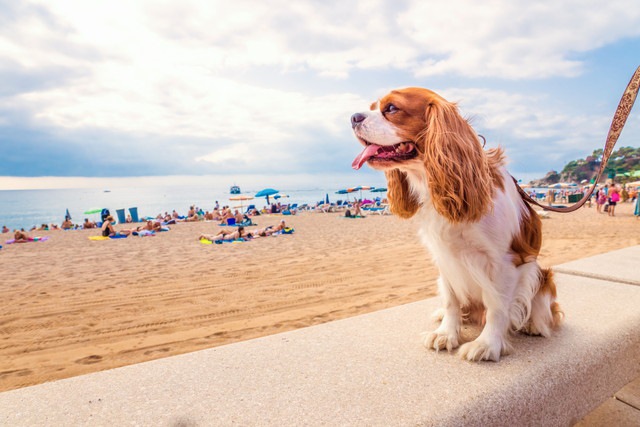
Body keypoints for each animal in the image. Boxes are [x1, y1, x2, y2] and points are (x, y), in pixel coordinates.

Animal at [352, 88, 564, 362]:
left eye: (391, 109)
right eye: (371, 107)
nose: (353, 117)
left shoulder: (506, 262)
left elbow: (497, 307)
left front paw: (487, 344)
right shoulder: (445, 257)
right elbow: (452, 300)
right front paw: (446, 333)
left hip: (540, 274)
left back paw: (534, 324)